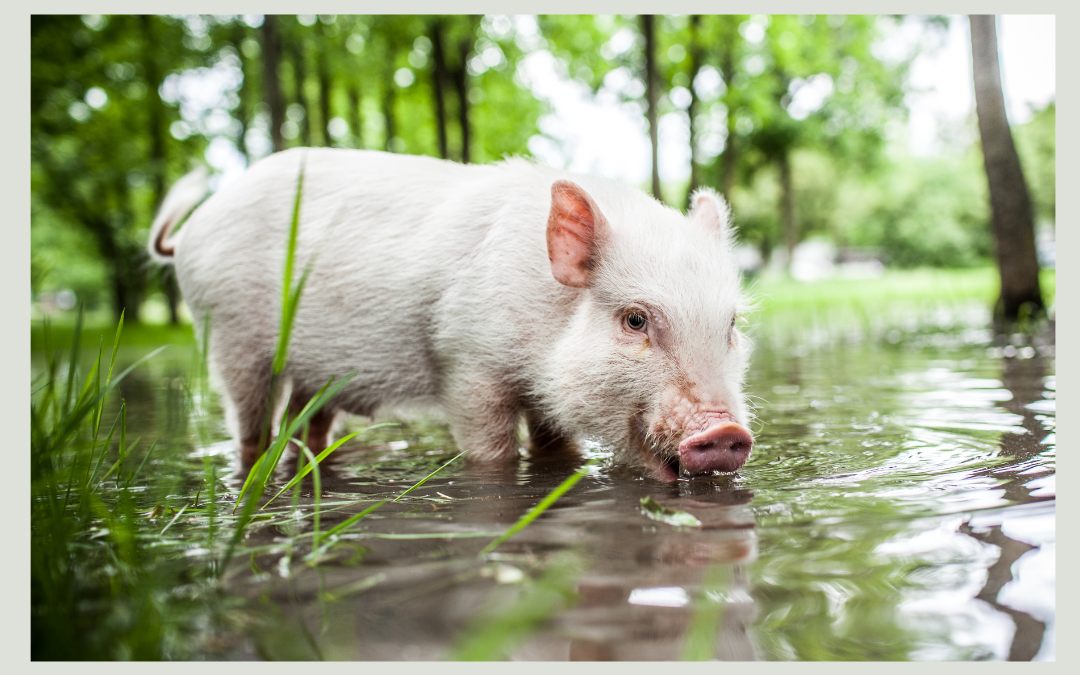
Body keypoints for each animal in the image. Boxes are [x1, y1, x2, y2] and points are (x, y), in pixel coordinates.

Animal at [147, 150, 751, 481]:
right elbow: (492, 452)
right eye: (635, 320)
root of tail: (196, 225)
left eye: (731, 326)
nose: (725, 431)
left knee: (306, 425)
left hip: (314, 374)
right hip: (230, 340)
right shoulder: (467, 363)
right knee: (252, 427)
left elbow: (556, 449)